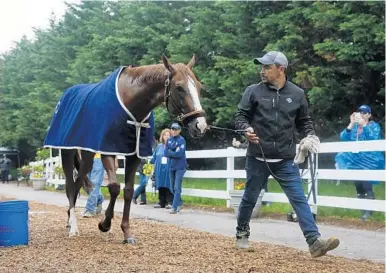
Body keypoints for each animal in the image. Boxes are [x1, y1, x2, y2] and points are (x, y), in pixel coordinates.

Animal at [43, 53, 208, 242]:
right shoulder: (108, 150)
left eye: (198, 86)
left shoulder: (134, 154)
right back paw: (73, 225)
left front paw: (126, 232)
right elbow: (114, 187)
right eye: (179, 87)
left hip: (87, 155)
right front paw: (105, 224)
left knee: (79, 183)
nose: (200, 125)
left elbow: (128, 191)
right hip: (68, 153)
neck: (131, 101)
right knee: (71, 186)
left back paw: (71, 220)